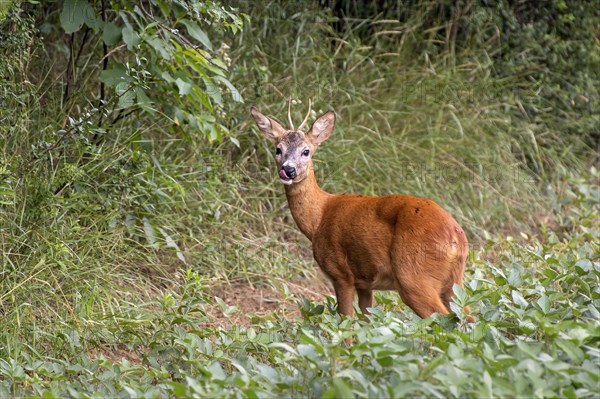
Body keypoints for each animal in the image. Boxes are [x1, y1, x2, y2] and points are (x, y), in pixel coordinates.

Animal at [250, 101, 474, 324]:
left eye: (306, 151)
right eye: (278, 149)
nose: (288, 170)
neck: (319, 218)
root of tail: (455, 236)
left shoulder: (341, 273)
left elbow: (346, 321)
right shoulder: (365, 284)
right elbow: (366, 321)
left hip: (414, 276)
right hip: (453, 281)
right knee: (468, 315)